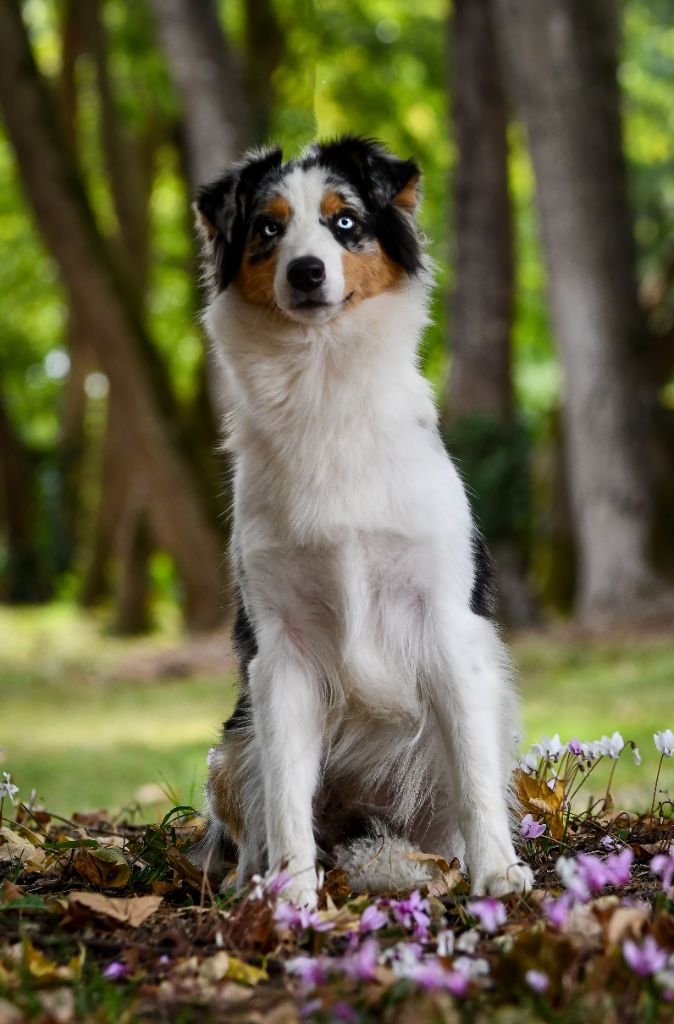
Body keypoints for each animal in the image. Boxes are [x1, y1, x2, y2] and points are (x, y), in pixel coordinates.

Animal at [188, 134, 528, 905]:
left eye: (344, 222)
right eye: (268, 229)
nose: (308, 270)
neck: (323, 385)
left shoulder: (447, 623)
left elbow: (474, 777)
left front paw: (497, 871)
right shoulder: (279, 645)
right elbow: (286, 789)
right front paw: (291, 891)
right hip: (233, 740)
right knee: (253, 814)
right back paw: (255, 879)